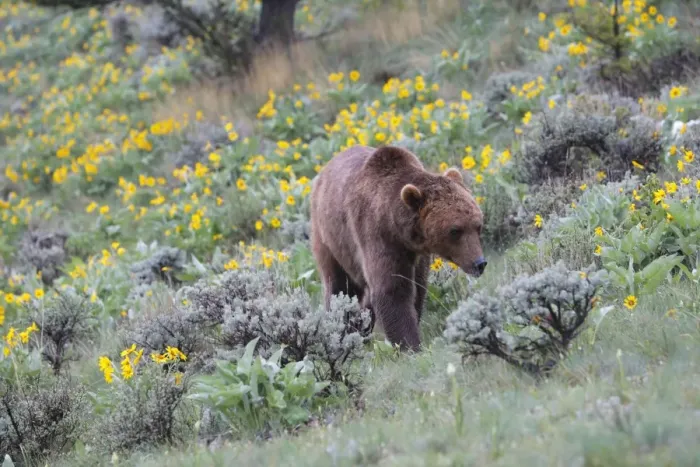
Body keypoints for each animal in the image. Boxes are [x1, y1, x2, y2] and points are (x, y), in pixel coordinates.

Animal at [310, 145, 487, 351]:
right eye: (455, 230)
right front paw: (410, 345)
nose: (479, 263)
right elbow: (393, 291)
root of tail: (323, 172)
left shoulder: (417, 255)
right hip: (331, 239)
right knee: (339, 287)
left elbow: (417, 289)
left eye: (478, 225)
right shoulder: (377, 236)